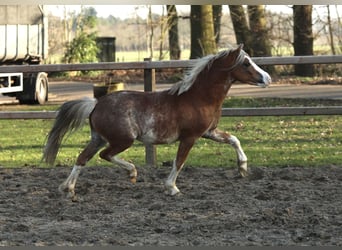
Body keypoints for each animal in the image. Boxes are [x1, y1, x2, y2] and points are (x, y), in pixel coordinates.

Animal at [42, 43, 272, 199]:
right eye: (246, 63)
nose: (268, 79)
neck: (198, 97)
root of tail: (97, 103)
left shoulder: (210, 132)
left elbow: (234, 139)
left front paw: (243, 169)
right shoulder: (190, 137)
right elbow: (179, 161)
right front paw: (172, 188)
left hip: (98, 138)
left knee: (83, 158)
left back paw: (68, 189)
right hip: (121, 140)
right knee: (104, 155)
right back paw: (131, 172)